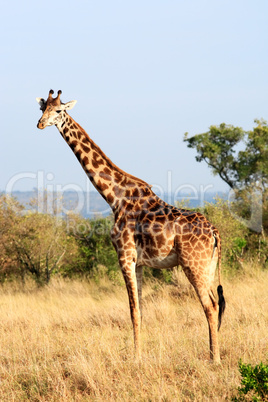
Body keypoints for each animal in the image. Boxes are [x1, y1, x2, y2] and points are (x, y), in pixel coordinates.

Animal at [36, 89, 225, 362]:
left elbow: (133, 310)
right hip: (208, 265)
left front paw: (135, 358)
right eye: (42, 109)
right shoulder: (140, 263)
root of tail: (215, 232)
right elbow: (142, 310)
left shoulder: (124, 255)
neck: (114, 196)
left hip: (193, 264)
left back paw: (214, 358)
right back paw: (214, 353)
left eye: (59, 110)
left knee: (209, 305)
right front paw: (140, 354)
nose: (40, 124)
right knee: (216, 302)